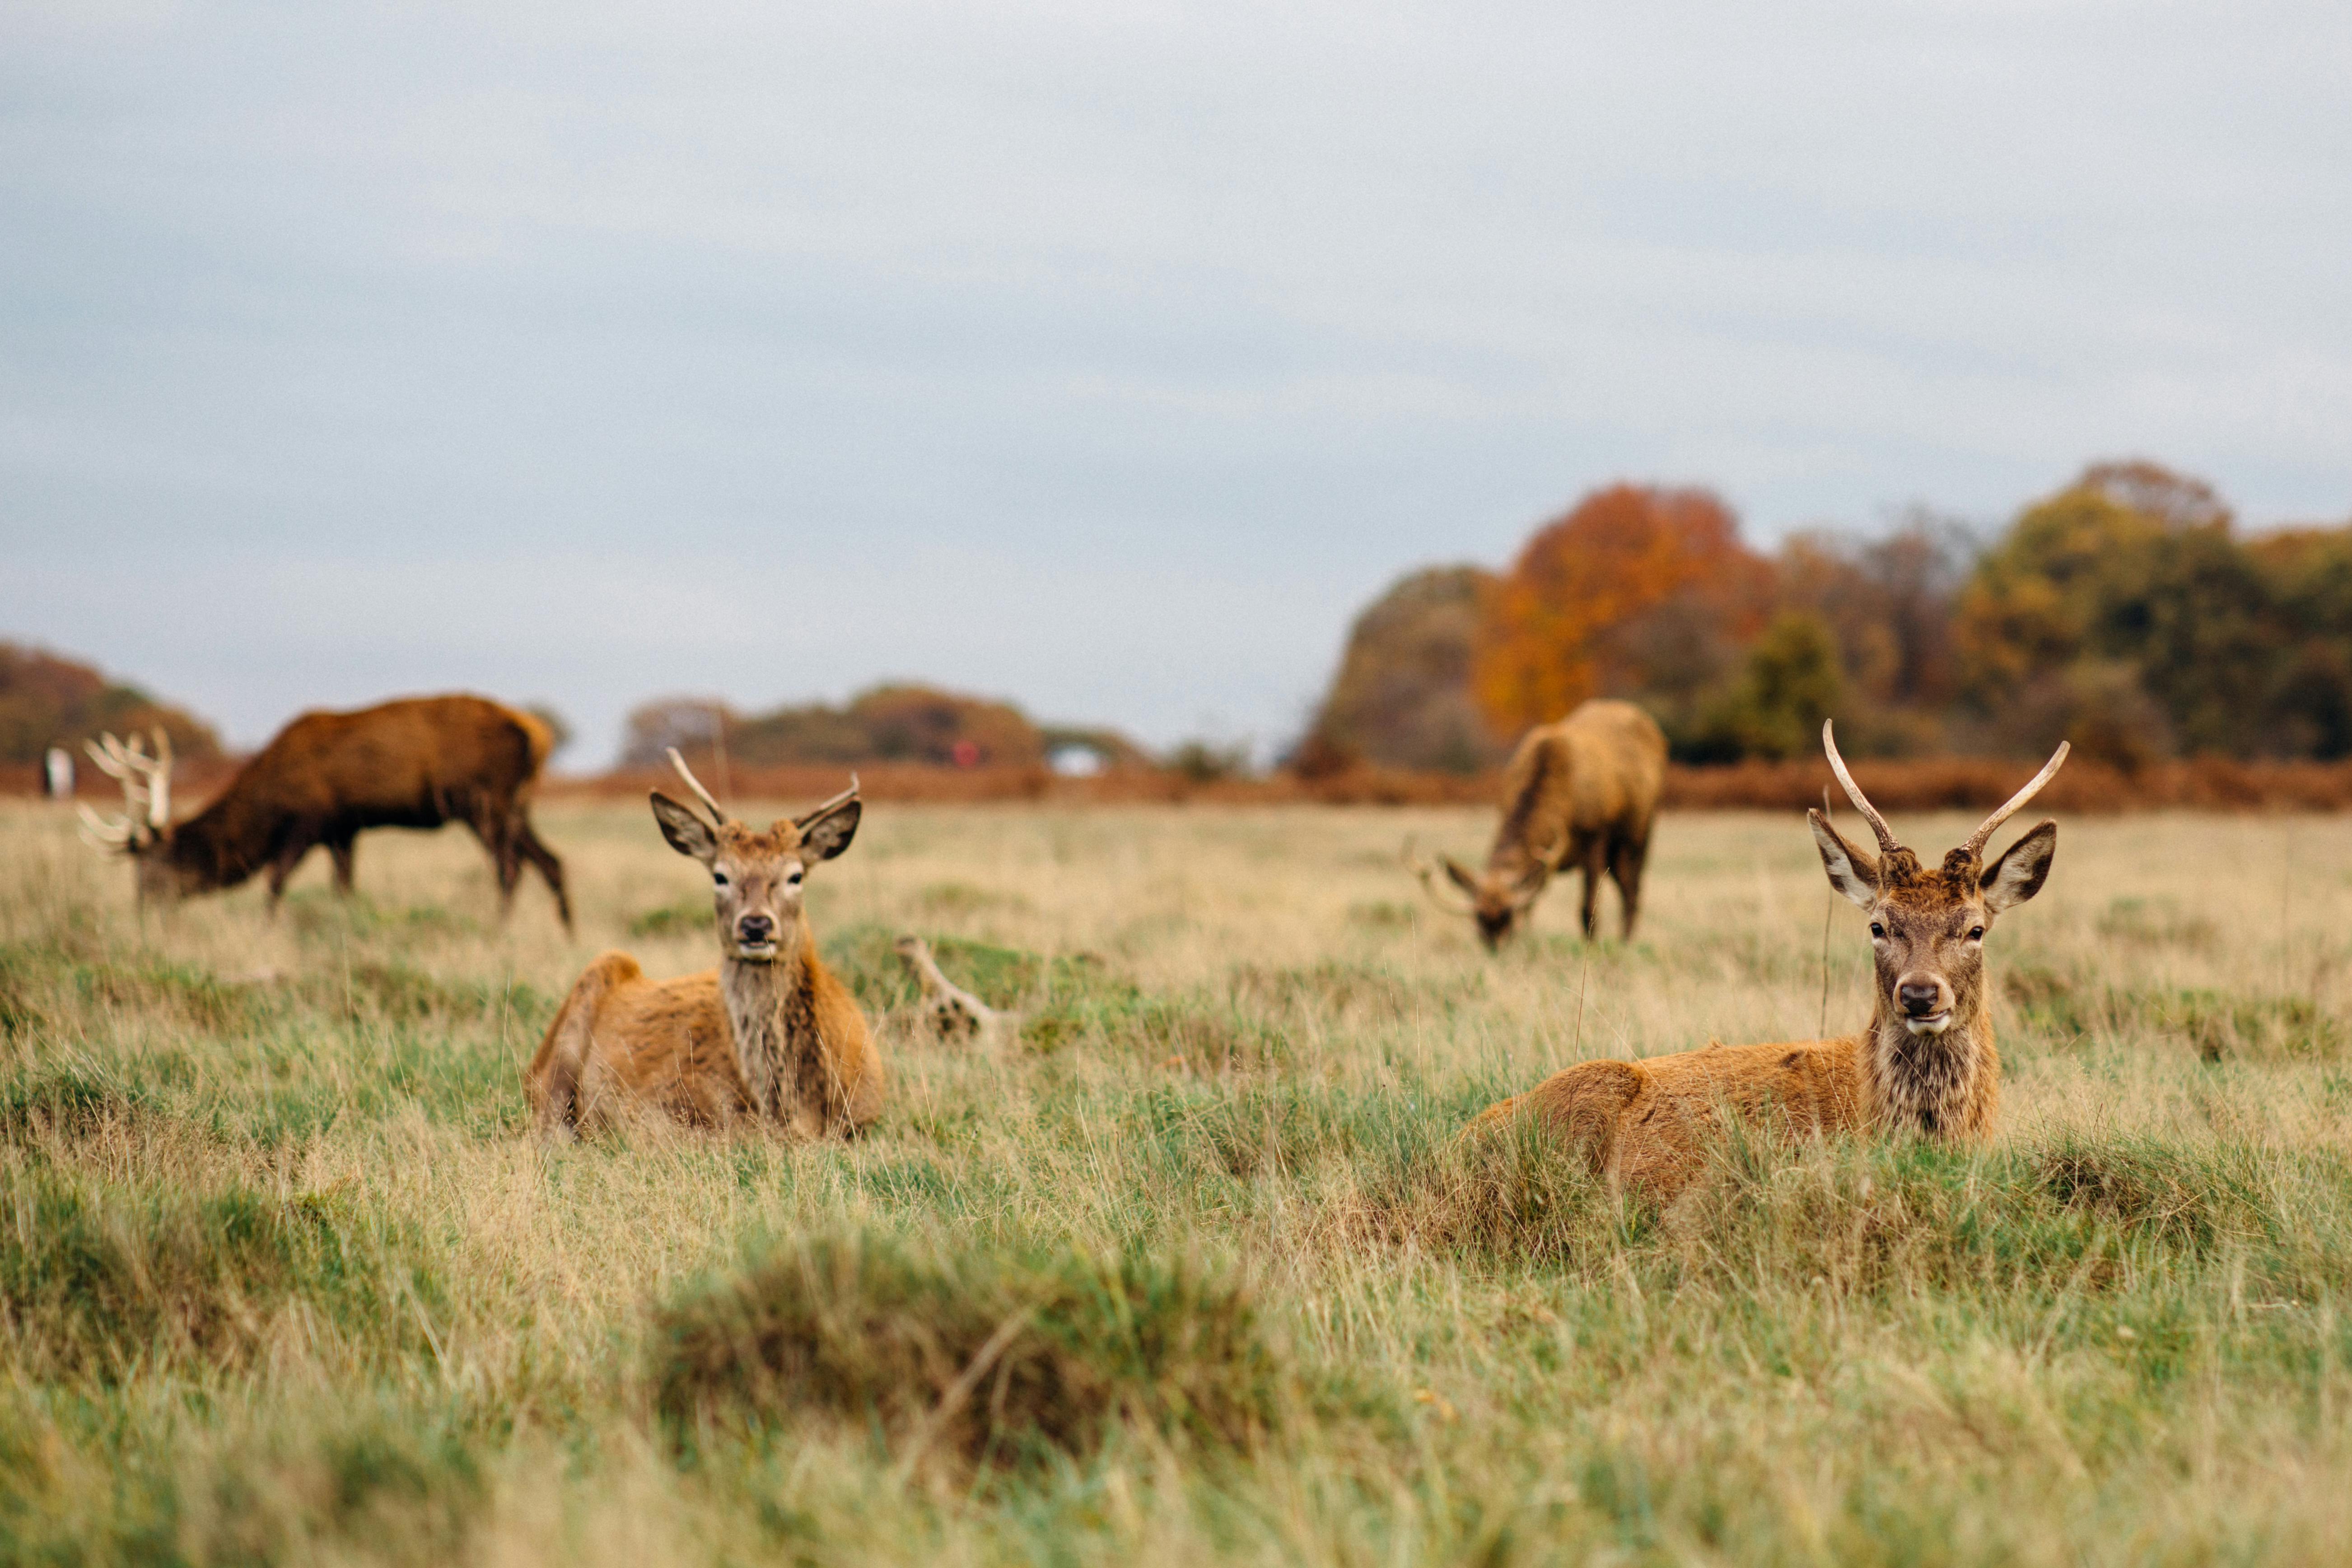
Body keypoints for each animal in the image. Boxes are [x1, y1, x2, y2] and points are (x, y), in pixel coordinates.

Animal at [77, 696, 569, 928]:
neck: (269, 802)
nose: (141, 909)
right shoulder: (344, 829)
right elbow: (344, 886)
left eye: (153, 864)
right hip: (515, 805)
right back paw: (566, 931)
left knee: (510, 867)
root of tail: (539, 734)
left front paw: (267, 931)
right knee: (551, 861)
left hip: (484, 800)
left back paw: (499, 929)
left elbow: (275, 881)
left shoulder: (310, 819)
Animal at [1408, 699, 1667, 948]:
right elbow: (1532, 901)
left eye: (1507, 914)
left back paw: (1626, 942)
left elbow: (1588, 909)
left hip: (1639, 833)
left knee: (1633, 890)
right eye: (1479, 916)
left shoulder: (1596, 836)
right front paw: (1528, 940)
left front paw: (1591, 948)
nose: (1494, 947)